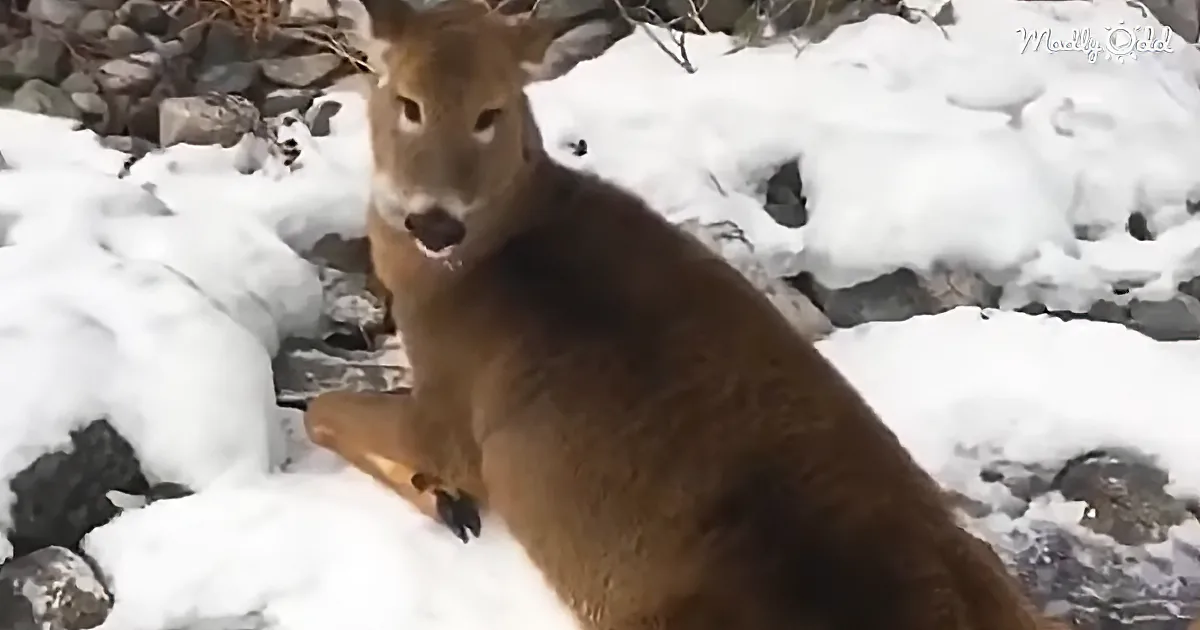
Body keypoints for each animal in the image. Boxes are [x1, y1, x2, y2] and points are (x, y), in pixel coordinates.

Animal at [302, 1, 1064, 629]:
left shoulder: (453, 416)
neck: (478, 261)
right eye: (408, 101)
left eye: (491, 113)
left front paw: (447, 501)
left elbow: (319, 410)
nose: (435, 222)